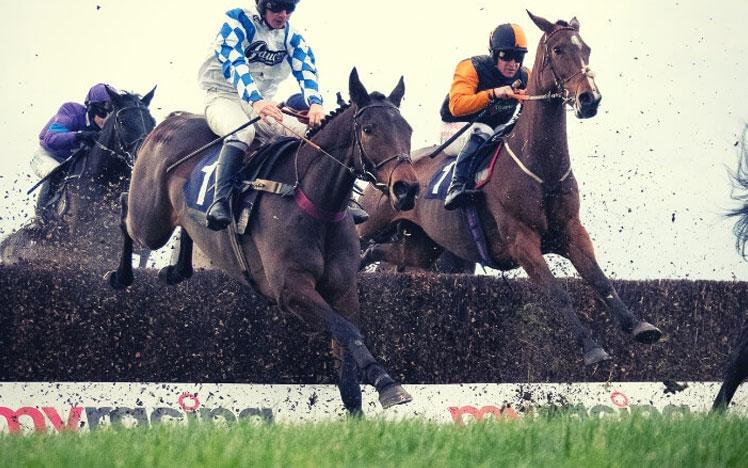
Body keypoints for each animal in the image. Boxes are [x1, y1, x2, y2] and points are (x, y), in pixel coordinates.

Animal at [105, 68, 420, 414]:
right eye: (368, 129)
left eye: (408, 129)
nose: (407, 189)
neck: (314, 202)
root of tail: (170, 121)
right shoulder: (291, 290)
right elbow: (348, 333)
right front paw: (388, 384)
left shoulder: (344, 289)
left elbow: (348, 364)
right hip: (150, 221)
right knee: (125, 208)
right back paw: (120, 275)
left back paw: (176, 270)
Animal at [360, 11, 664, 366]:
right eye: (558, 49)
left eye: (586, 48)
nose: (590, 99)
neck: (542, 169)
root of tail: (385, 174)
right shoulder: (521, 240)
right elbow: (557, 293)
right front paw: (592, 348)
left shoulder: (571, 230)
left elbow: (600, 280)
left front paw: (639, 326)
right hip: (371, 224)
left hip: (422, 246)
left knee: (379, 253)